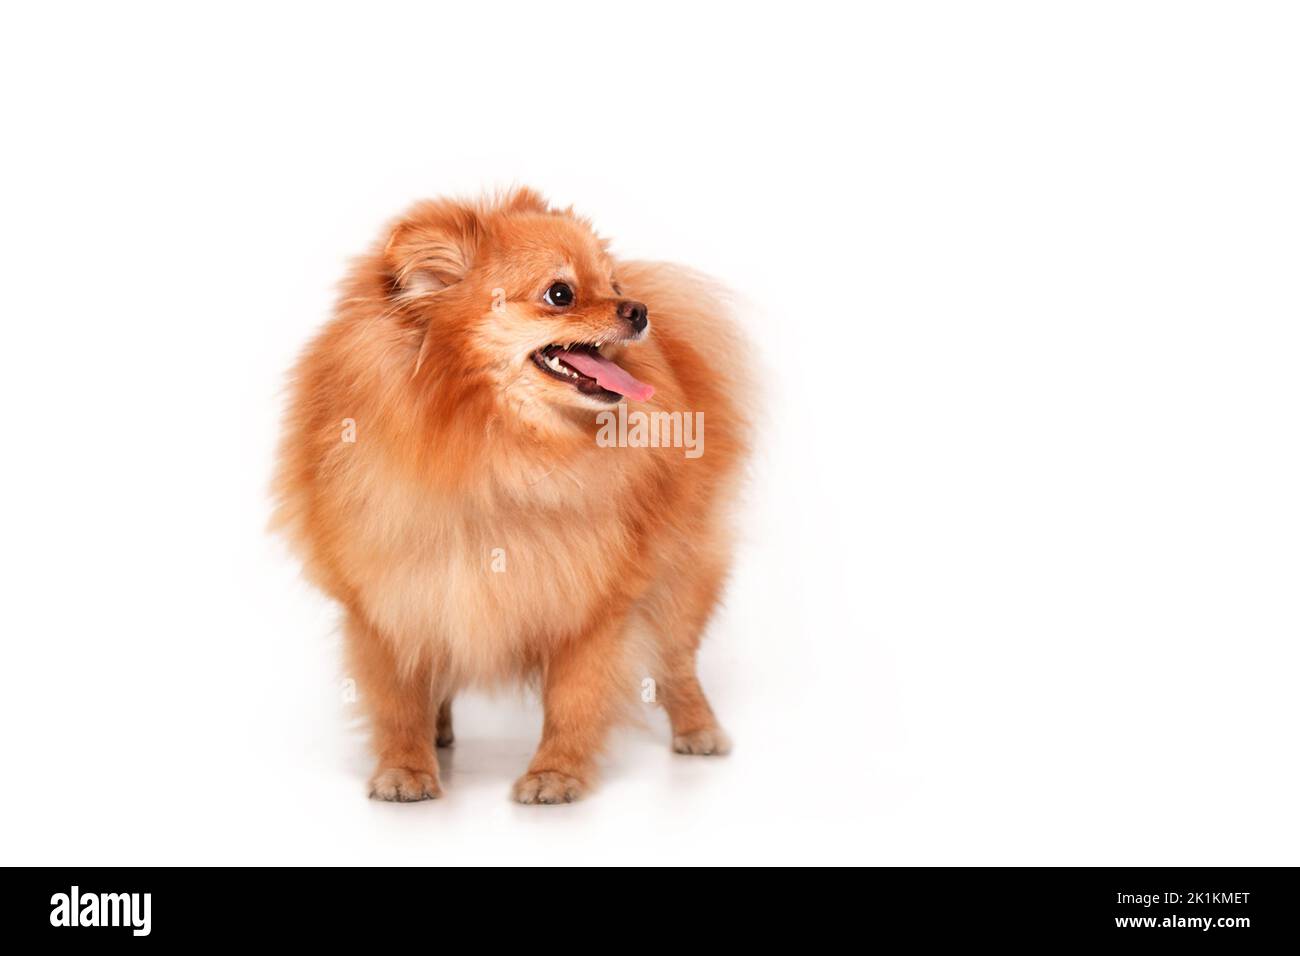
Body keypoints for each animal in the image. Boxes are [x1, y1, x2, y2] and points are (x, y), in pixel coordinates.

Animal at [274, 187, 754, 801]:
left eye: (615, 285)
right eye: (560, 294)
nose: (639, 309)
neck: (497, 451)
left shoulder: (593, 603)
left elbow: (573, 699)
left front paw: (555, 774)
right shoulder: (390, 596)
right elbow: (399, 699)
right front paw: (407, 768)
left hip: (680, 578)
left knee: (676, 662)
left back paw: (698, 730)